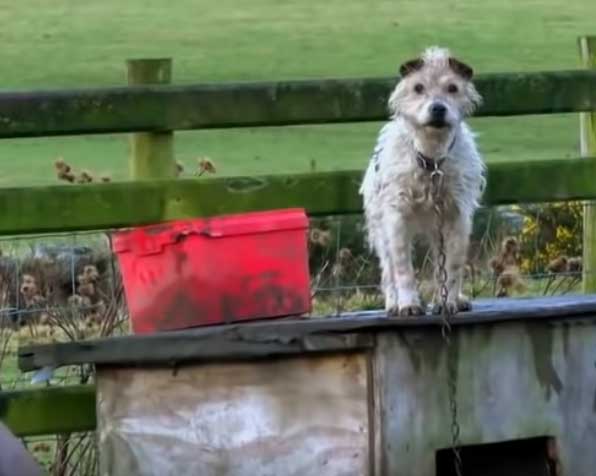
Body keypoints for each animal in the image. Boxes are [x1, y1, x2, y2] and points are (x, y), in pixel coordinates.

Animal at [358, 47, 484, 316]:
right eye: (418, 87)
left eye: (453, 87)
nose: (437, 108)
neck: (431, 160)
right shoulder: (396, 219)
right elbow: (403, 268)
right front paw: (408, 304)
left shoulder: (456, 218)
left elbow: (452, 266)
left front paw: (449, 302)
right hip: (381, 230)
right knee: (388, 270)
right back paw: (393, 303)